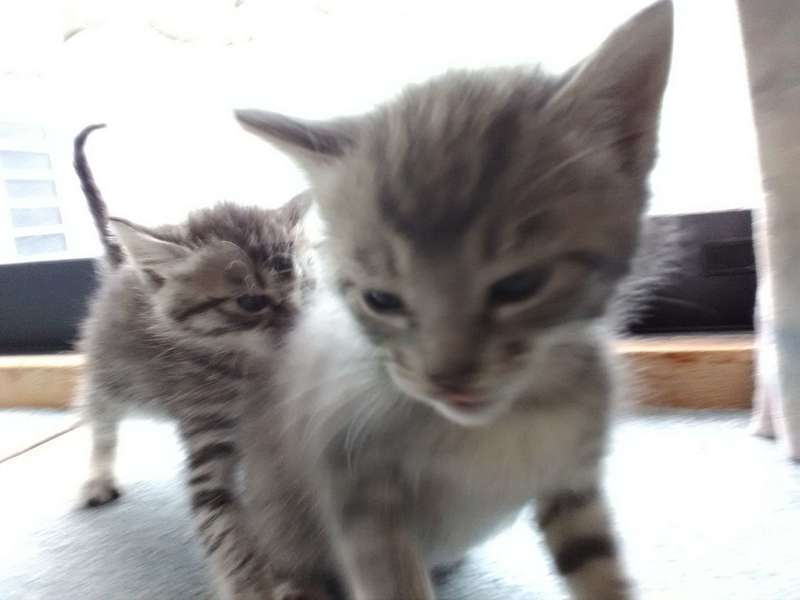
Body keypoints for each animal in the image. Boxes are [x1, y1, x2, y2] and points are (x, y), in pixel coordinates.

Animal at [73, 123, 313, 600]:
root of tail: (123, 266)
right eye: (251, 302)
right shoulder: (207, 433)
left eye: (305, 284)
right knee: (99, 419)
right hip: (115, 378)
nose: (300, 323)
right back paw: (98, 474)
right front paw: (251, 584)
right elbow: (220, 517)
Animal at [234, 2, 673, 599]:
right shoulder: (354, 480)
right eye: (381, 299)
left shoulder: (573, 481)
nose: (446, 378)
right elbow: (390, 578)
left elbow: (599, 568)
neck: (504, 420)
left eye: (519, 286)